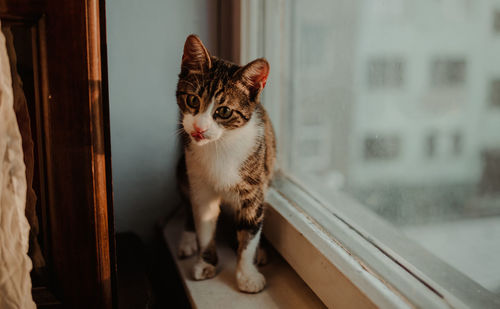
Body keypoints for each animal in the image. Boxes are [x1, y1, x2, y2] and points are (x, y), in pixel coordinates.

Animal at [175, 35, 278, 292]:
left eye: (223, 111)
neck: (220, 145)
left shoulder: (254, 187)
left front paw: (247, 274)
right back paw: (187, 240)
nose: (199, 128)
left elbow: (250, 229)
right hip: (182, 169)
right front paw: (206, 262)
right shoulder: (198, 182)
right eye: (192, 100)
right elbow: (204, 222)